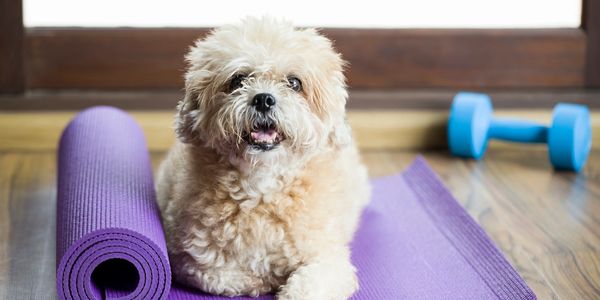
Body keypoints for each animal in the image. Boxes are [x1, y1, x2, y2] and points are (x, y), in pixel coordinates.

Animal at [155, 17, 370, 300]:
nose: (264, 99)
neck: (262, 185)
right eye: (237, 80)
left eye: (294, 83)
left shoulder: (329, 260)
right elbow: (222, 276)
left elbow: (308, 287)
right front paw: (263, 279)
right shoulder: (190, 258)